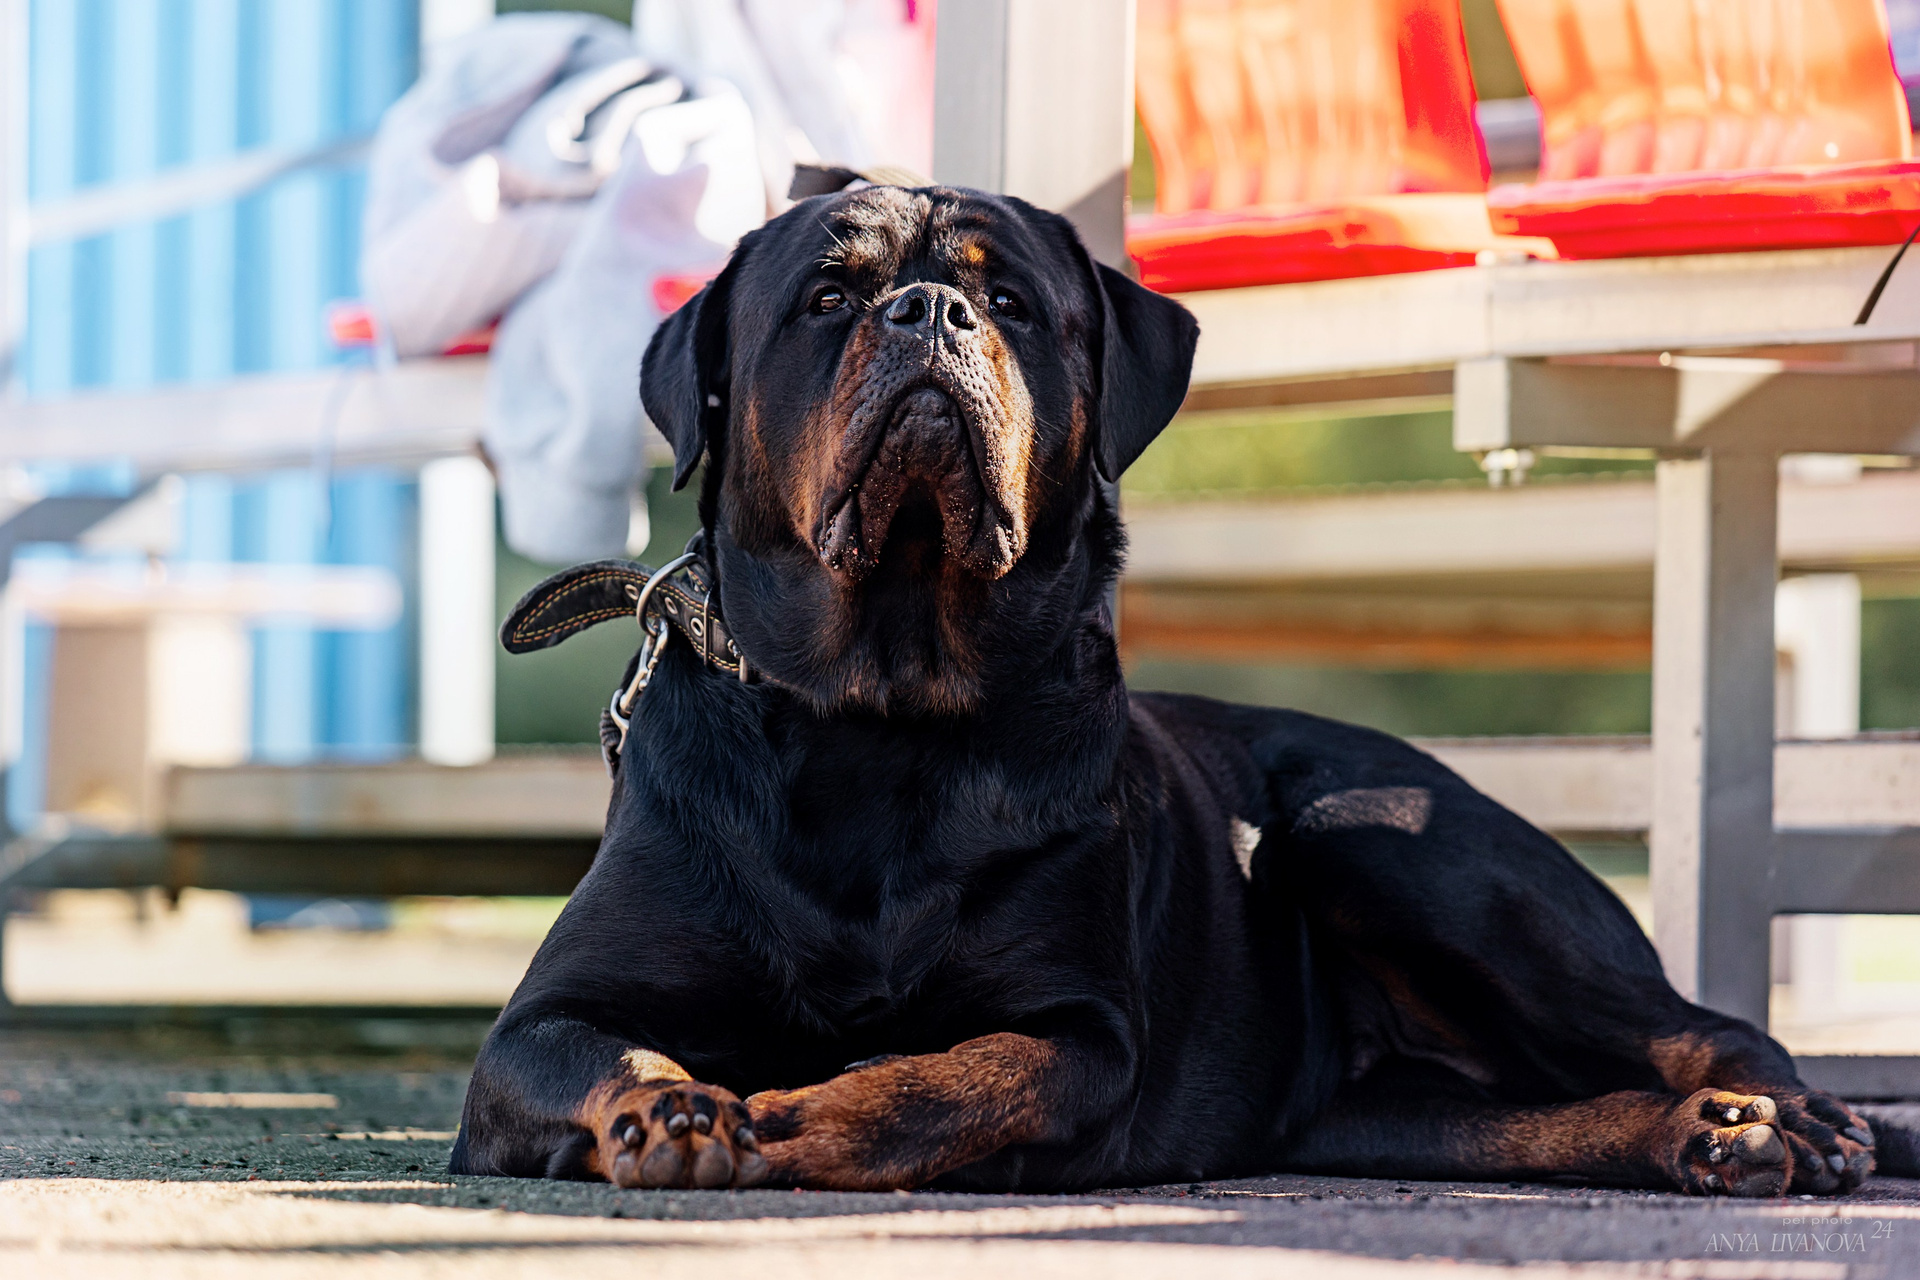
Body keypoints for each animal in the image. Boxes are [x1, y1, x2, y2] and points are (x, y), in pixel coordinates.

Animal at [450, 183, 1891, 1196]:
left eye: (1013, 303)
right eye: (825, 295)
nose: (929, 313)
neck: (882, 713)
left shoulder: (1086, 1029)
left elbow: (972, 1072)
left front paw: (809, 1111)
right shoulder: (535, 1025)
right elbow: (597, 1046)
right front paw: (672, 1107)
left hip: (1372, 835)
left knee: (1706, 1027)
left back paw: (1785, 1120)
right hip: (1376, 1105)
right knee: (1537, 1121)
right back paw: (1712, 1138)